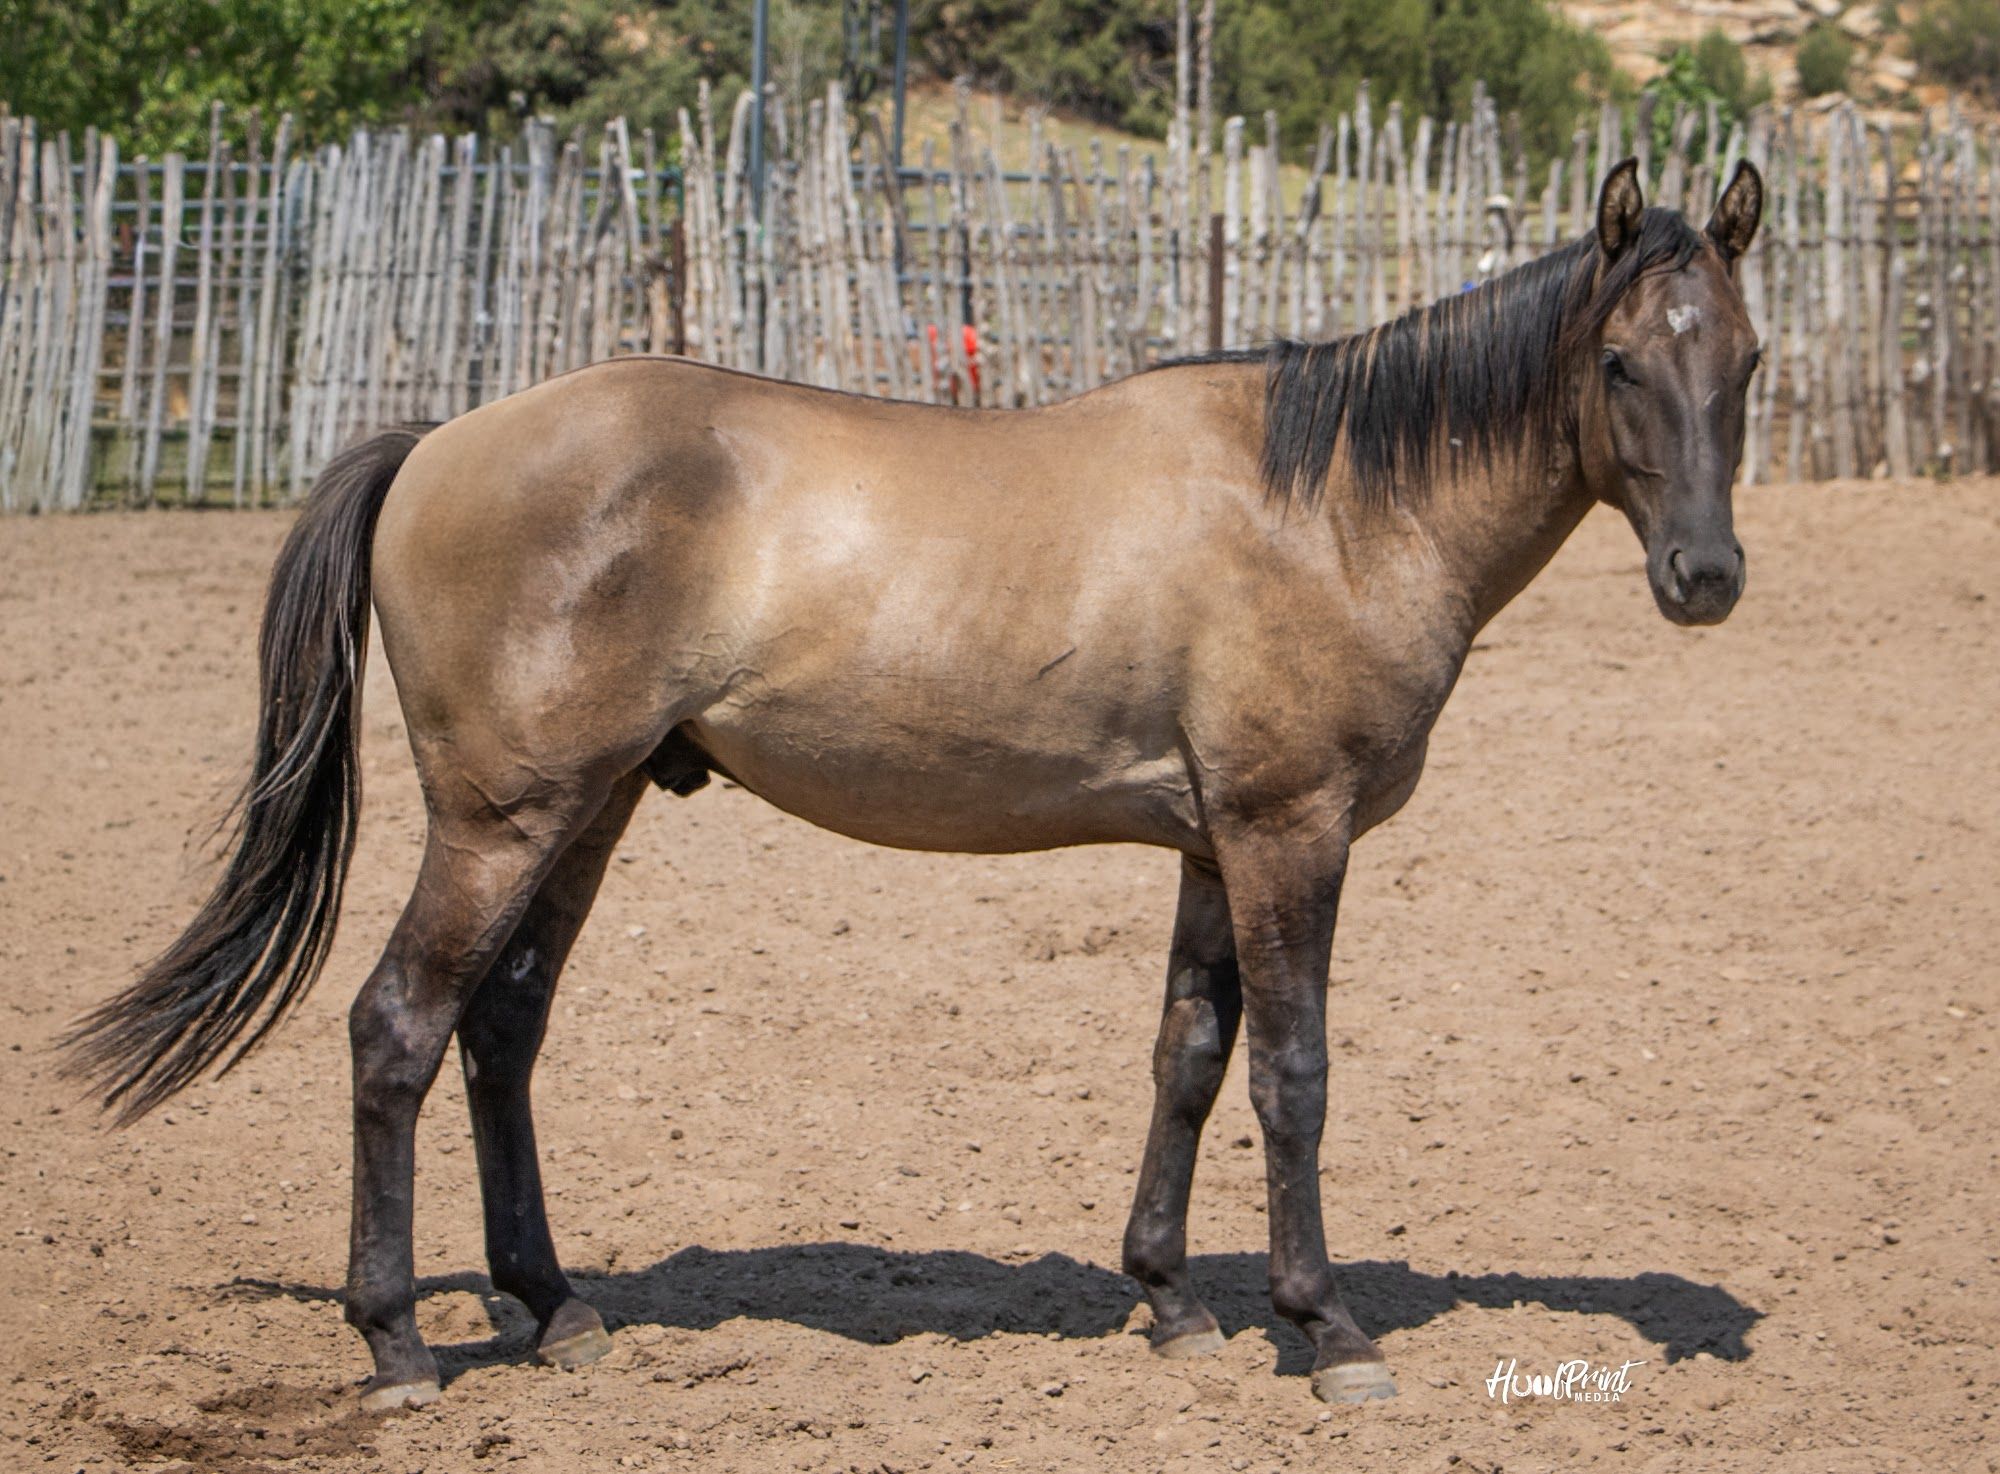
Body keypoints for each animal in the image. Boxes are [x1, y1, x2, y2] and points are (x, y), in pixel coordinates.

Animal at [64, 158, 1763, 1410]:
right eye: (1621, 359)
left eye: (1743, 360)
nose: (1707, 578)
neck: (1330, 504)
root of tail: (437, 444)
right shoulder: (1293, 831)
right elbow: (1293, 1072)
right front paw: (1325, 1327)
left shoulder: (1212, 841)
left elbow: (1187, 1056)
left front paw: (1169, 1298)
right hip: (503, 821)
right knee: (398, 1028)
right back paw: (401, 1341)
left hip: (588, 810)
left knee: (502, 1032)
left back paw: (553, 1307)